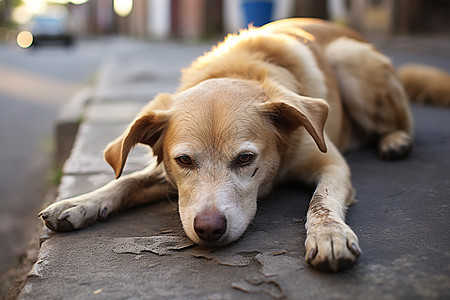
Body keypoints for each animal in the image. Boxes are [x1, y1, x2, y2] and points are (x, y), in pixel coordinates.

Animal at [39, 18, 446, 272]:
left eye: (246, 158)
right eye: (184, 161)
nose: (208, 229)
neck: (240, 71)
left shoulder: (332, 164)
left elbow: (321, 201)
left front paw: (329, 235)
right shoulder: (165, 175)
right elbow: (126, 181)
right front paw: (80, 203)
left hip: (352, 58)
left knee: (399, 123)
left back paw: (395, 140)